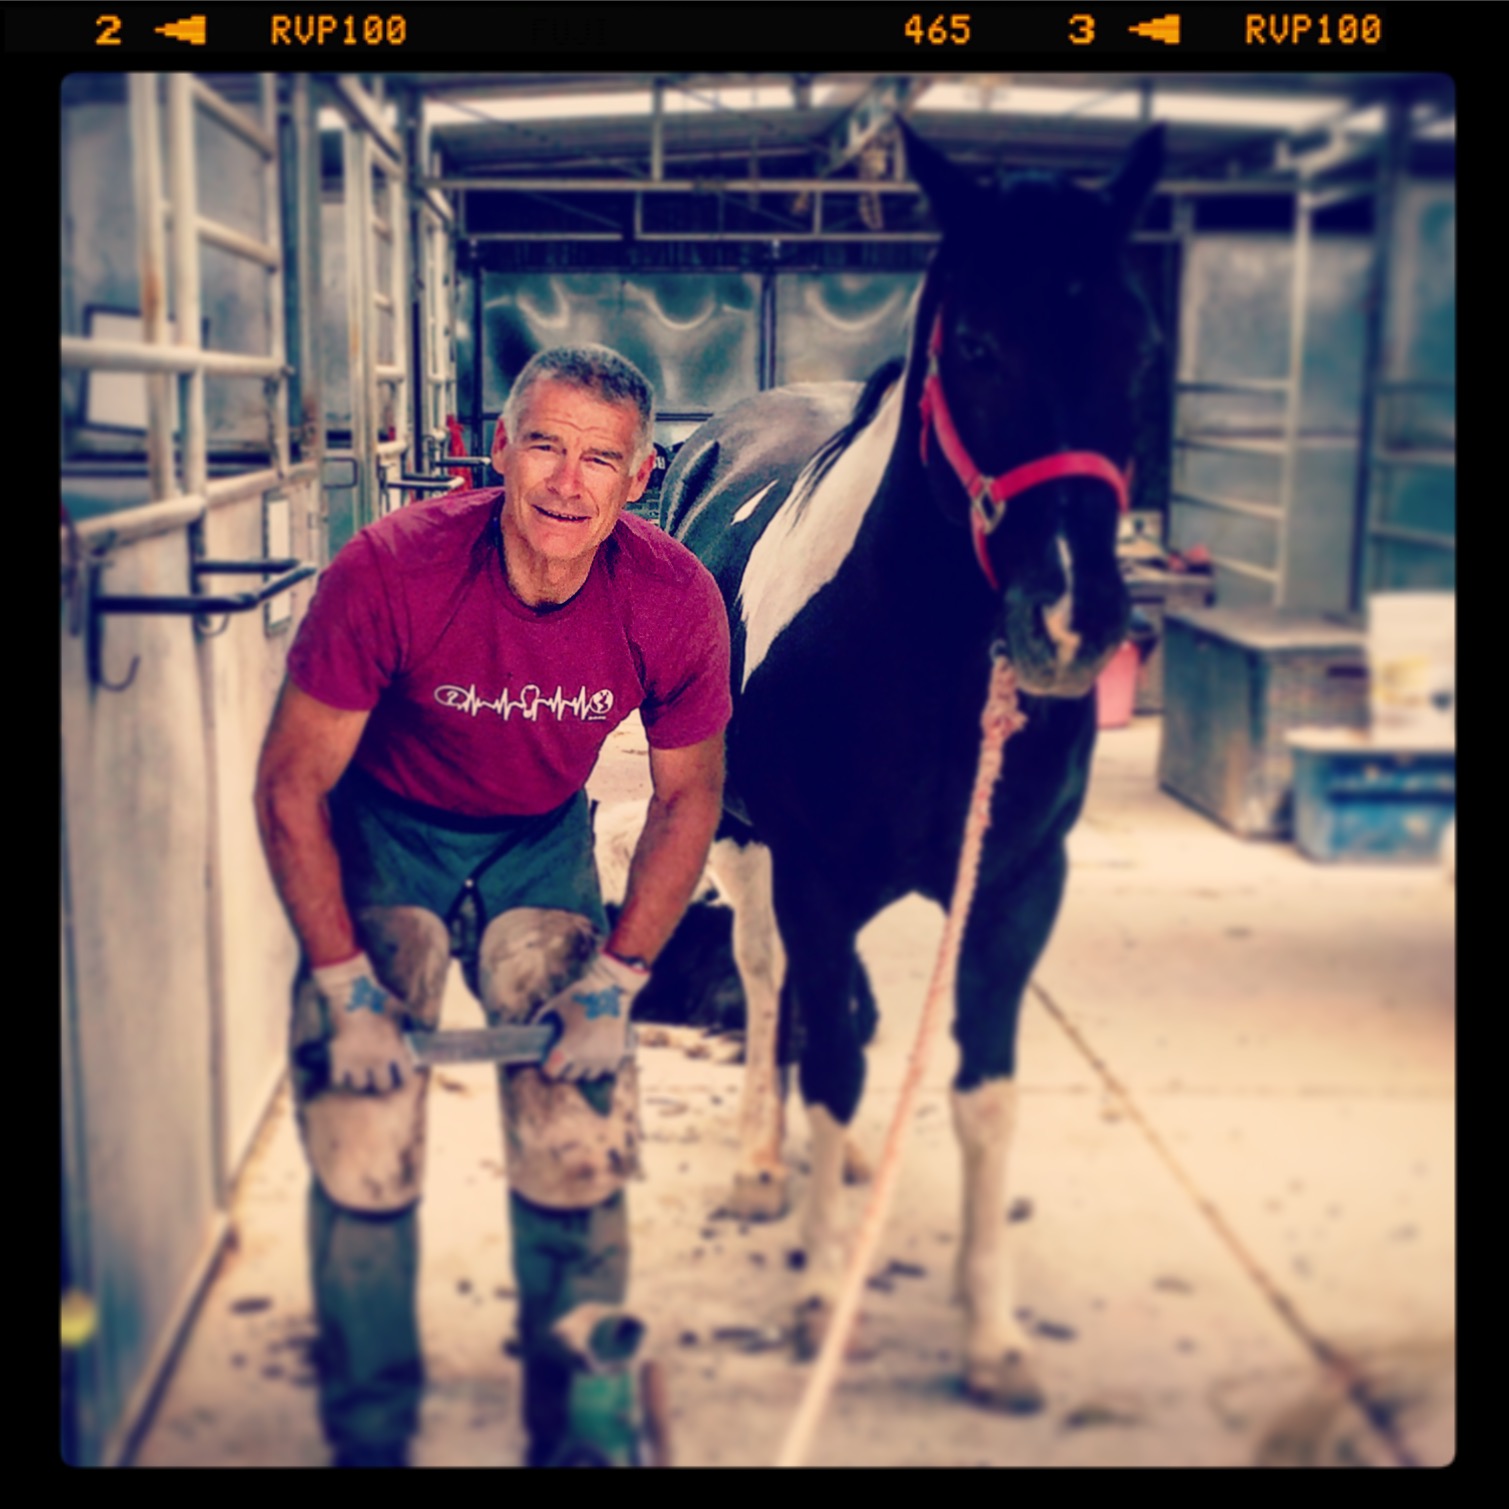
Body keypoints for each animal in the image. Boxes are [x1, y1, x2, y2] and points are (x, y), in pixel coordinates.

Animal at [654, 120, 1158, 1412]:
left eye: (1138, 335)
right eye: (975, 341)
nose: (1072, 617)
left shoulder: (1016, 892)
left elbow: (984, 1096)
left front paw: (990, 1337)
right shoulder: (819, 877)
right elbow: (828, 1054)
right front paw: (822, 1291)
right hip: (742, 840)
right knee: (767, 978)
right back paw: (763, 1165)